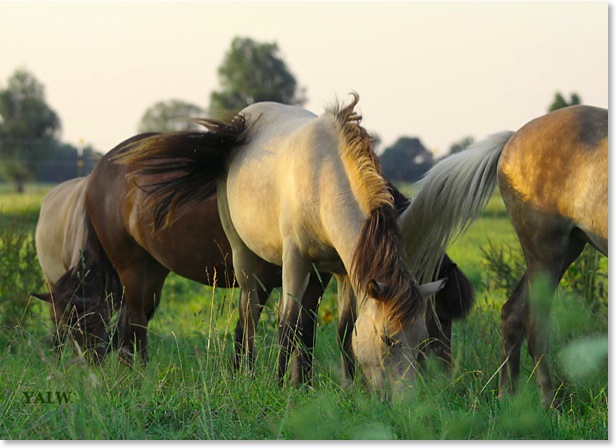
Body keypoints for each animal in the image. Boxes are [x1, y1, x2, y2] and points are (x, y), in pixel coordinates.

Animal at [114, 93, 442, 392]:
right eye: (388, 339)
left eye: (421, 341)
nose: (406, 400)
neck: (325, 179)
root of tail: (242, 122)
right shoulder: (296, 260)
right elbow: (287, 323)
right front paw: (280, 387)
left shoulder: (343, 271)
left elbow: (344, 328)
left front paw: (349, 387)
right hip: (243, 256)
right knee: (249, 314)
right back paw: (246, 374)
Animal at [402, 105, 608, 406]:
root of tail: (512, 139)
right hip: (546, 250)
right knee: (533, 323)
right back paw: (548, 403)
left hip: (566, 248)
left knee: (512, 314)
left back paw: (508, 397)